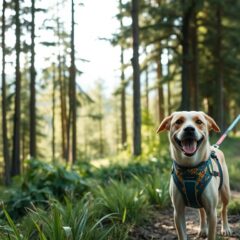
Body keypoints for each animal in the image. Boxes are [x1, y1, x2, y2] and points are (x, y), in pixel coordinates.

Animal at [157, 111, 232, 239]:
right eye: (178, 121)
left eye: (199, 122)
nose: (189, 129)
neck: (190, 169)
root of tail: (215, 148)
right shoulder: (178, 212)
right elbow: (182, 234)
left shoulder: (212, 212)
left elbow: (211, 234)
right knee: (201, 211)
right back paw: (202, 229)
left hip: (225, 191)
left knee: (224, 209)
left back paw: (225, 228)